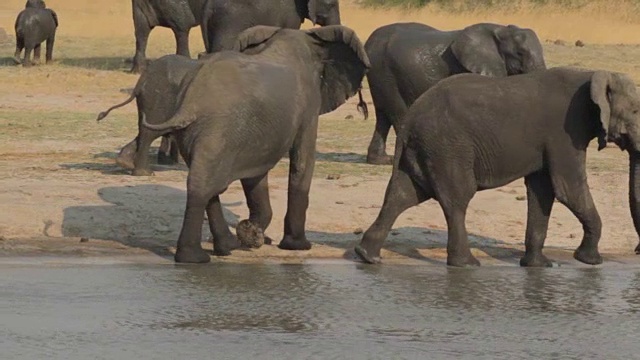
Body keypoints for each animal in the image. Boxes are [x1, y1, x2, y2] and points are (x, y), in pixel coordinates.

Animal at [140, 24, 370, 262]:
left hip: (195, 132)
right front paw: (296, 246)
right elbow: (302, 160)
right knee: (203, 185)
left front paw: (251, 233)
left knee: (205, 182)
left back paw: (224, 247)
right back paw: (195, 257)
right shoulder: (309, 104)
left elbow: (255, 175)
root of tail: (191, 102)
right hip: (218, 130)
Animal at [352, 66, 640, 266]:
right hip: (447, 146)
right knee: (457, 198)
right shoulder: (565, 132)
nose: (637, 251)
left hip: (425, 147)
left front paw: (539, 266)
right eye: (637, 111)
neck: (593, 75)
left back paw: (367, 256)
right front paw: (589, 261)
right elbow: (567, 188)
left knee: (402, 194)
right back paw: (467, 264)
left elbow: (543, 190)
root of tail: (410, 116)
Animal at [358, 23, 548, 167]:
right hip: (385, 72)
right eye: (520, 53)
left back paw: (381, 160)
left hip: (381, 76)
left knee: (383, 116)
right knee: (398, 113)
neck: (501, 30)